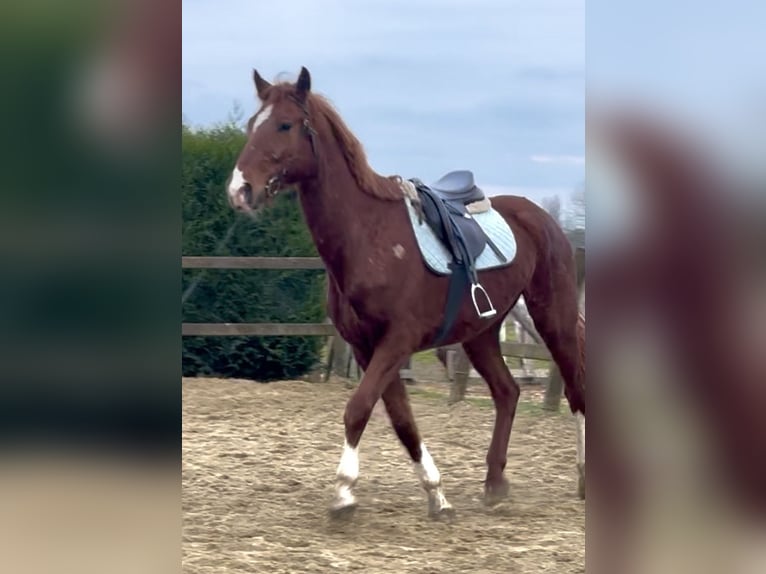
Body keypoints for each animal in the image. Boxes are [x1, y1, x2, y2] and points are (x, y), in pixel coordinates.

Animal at [225, 67, 584, 520]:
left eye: (285, 125)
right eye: (251, 125)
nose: (240, 190)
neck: (369, 237)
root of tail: (540, 216)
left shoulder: (397, 341)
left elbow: (359, 408)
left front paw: (343, 493)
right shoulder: (366, 347)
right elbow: (401, 419)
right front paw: (437, 495)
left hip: (554, 318)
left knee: (575, 387)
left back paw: (583, 477)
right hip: (482, 333)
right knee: (508, 392)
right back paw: (494, 484)